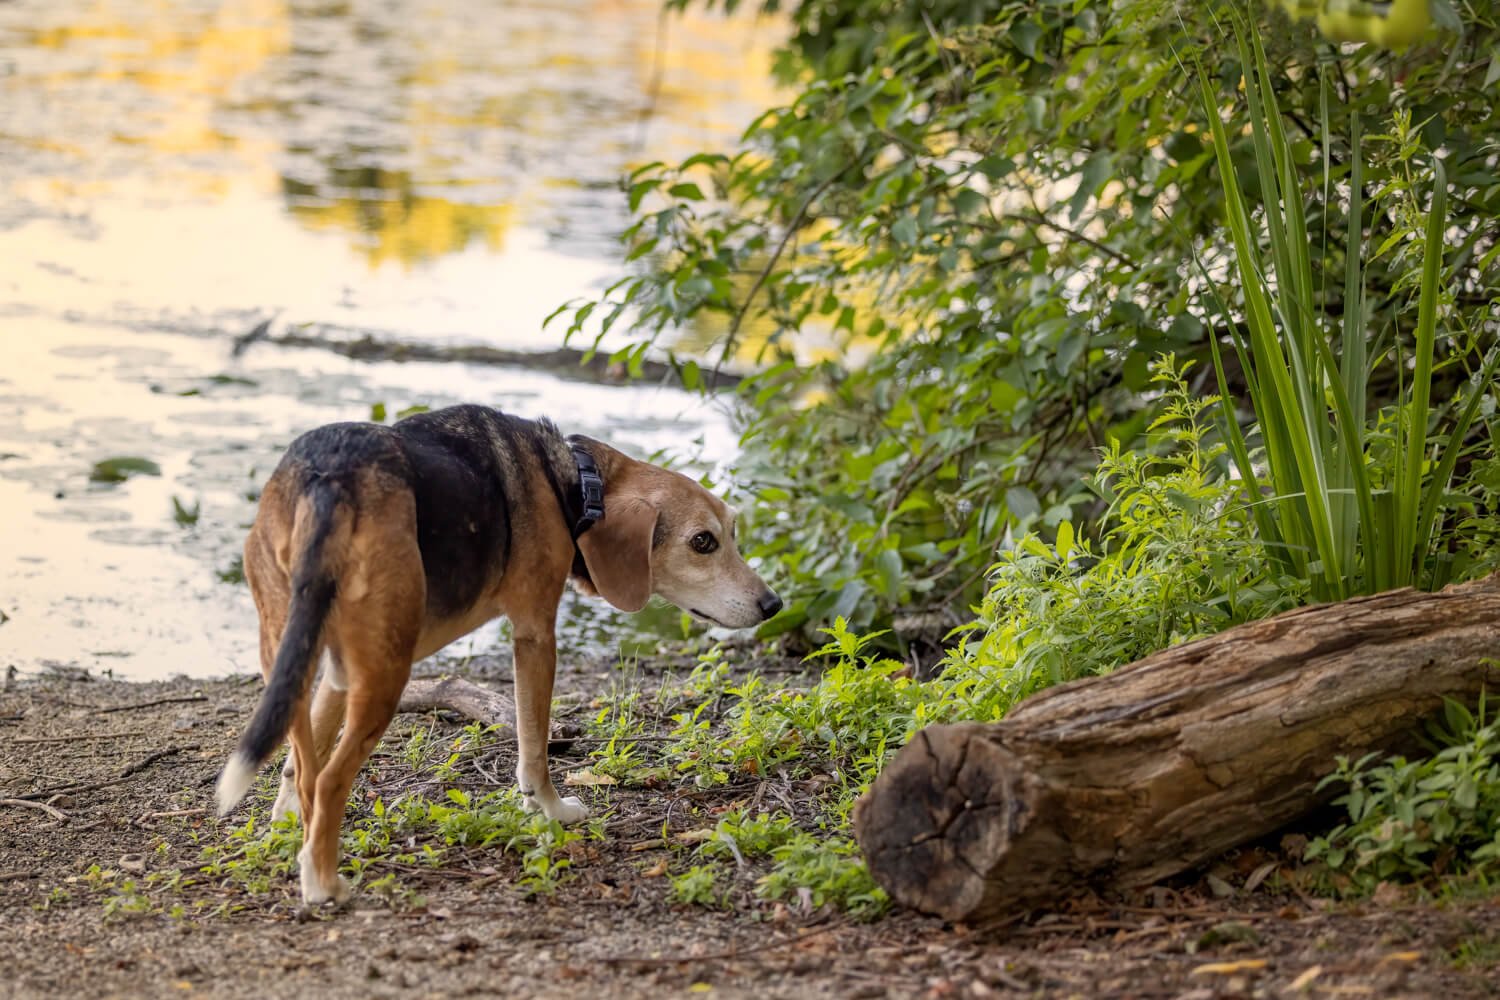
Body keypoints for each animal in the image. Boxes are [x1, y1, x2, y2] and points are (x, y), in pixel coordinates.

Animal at [213, 404, 786, 905]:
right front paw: (550, 810)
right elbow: (534, 748)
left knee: (308, 765)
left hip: (296, 652)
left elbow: (296, 765)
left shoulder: (334, 671)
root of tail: (328, 476)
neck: (571, 483)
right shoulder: (535, 636)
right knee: (332, 780)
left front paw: (289, 828)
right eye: (702, 542)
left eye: (731, 534)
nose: (774, 605)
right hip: (386, 675)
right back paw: (324, 884)